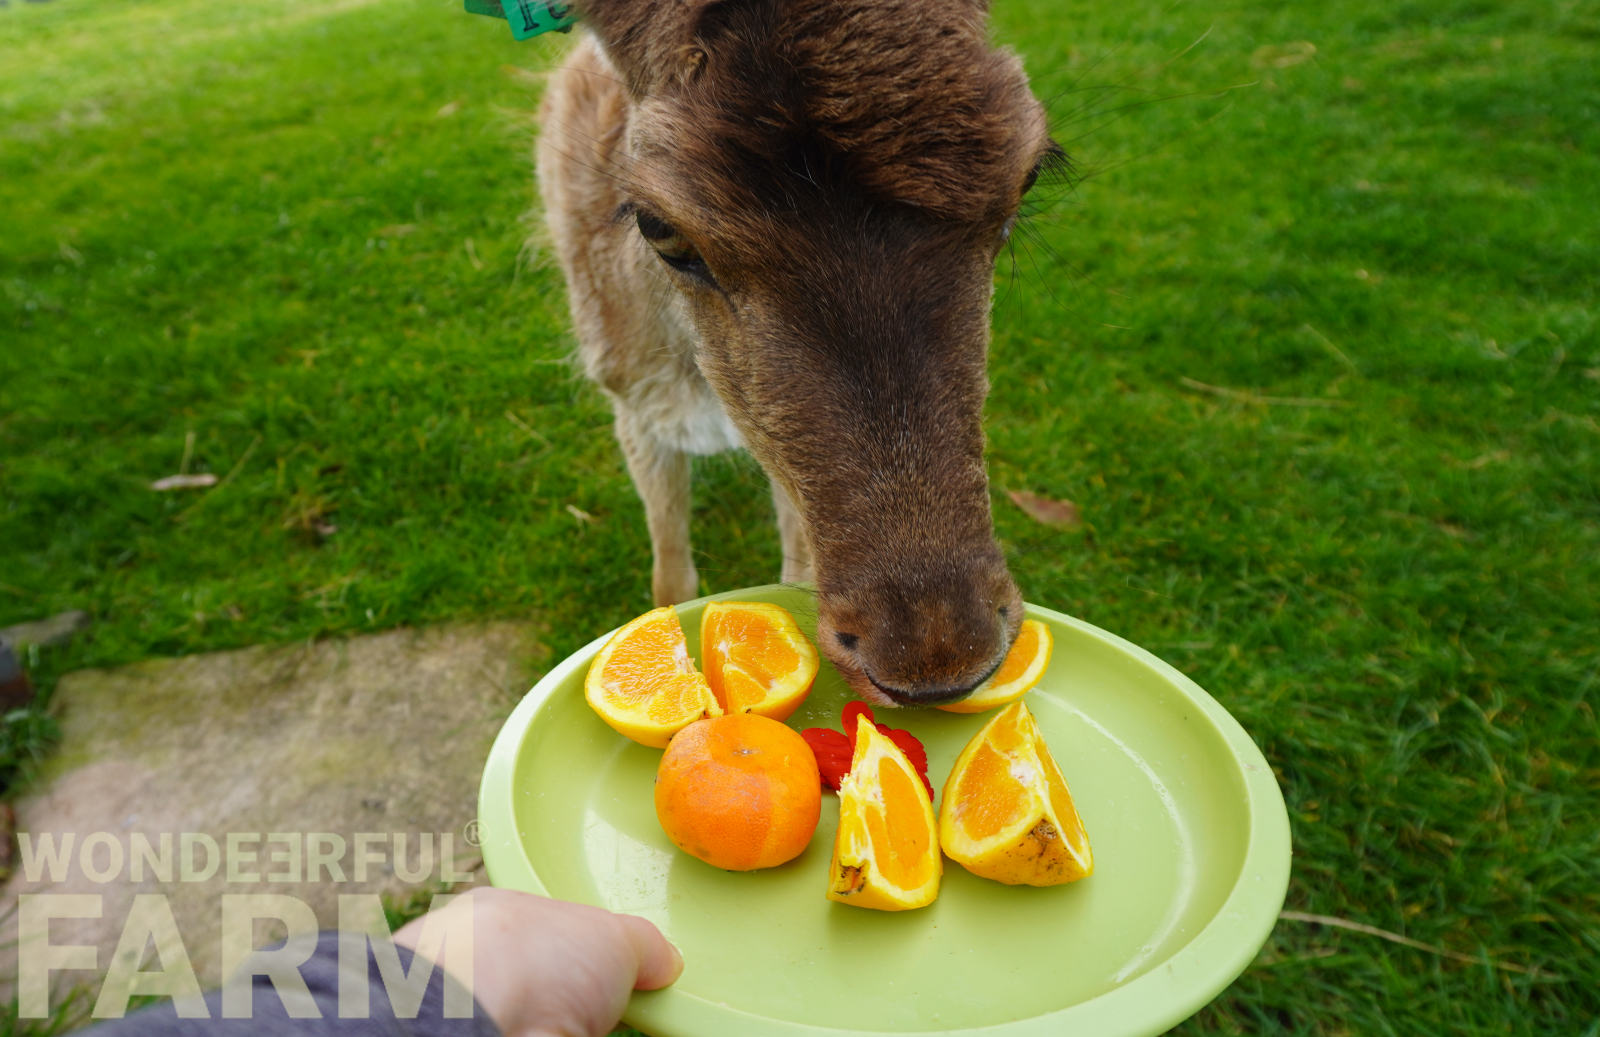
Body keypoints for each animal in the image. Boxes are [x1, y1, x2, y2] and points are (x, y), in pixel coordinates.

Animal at [540, 0, 1062, 707]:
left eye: (1029, 174)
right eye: (659, 226)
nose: (939, 664)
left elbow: (794, 568)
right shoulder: (630, 404)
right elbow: (669, 581)